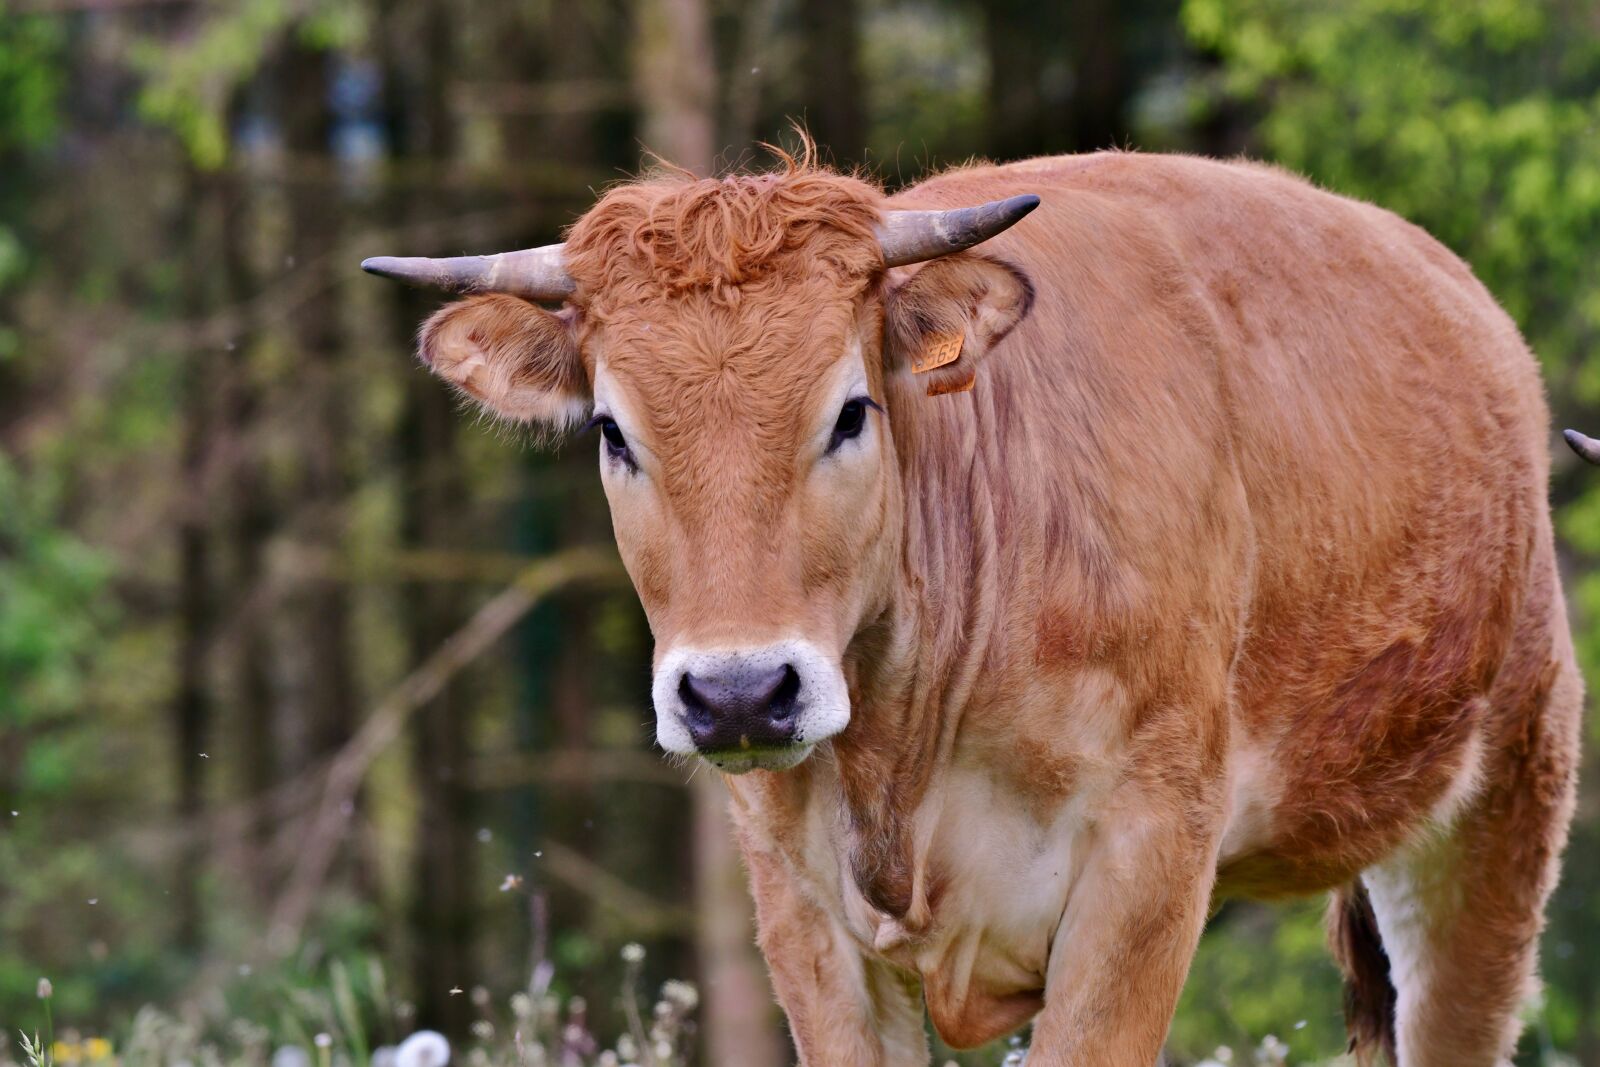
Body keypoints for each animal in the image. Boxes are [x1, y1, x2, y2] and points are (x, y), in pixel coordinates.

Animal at [363, 147, 1582, 1067]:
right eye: (614, 431)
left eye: (850, 410)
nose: (740, 692)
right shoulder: (799, 904)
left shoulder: (1149, 861)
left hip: (1501, 808)